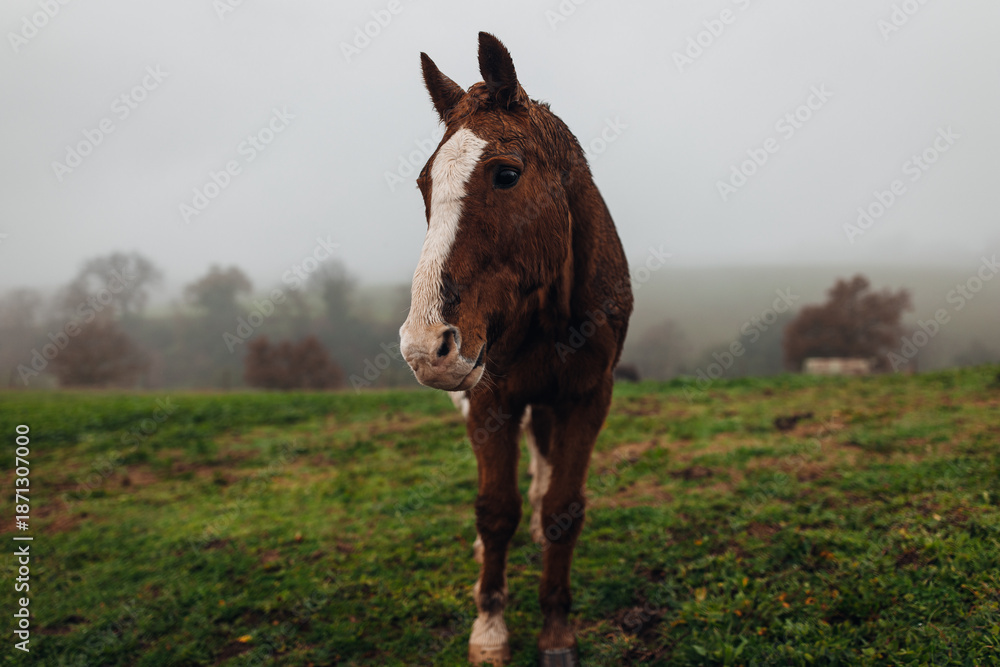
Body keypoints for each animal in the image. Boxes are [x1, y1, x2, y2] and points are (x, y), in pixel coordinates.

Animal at [399, 32, 633, 666]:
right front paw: (490, 627)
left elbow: (563, 509)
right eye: (425, 185)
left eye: (506, 174)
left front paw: (556, 630)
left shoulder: (587, 396)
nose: (426, 347)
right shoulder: (490, 398)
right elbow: (494, 509)